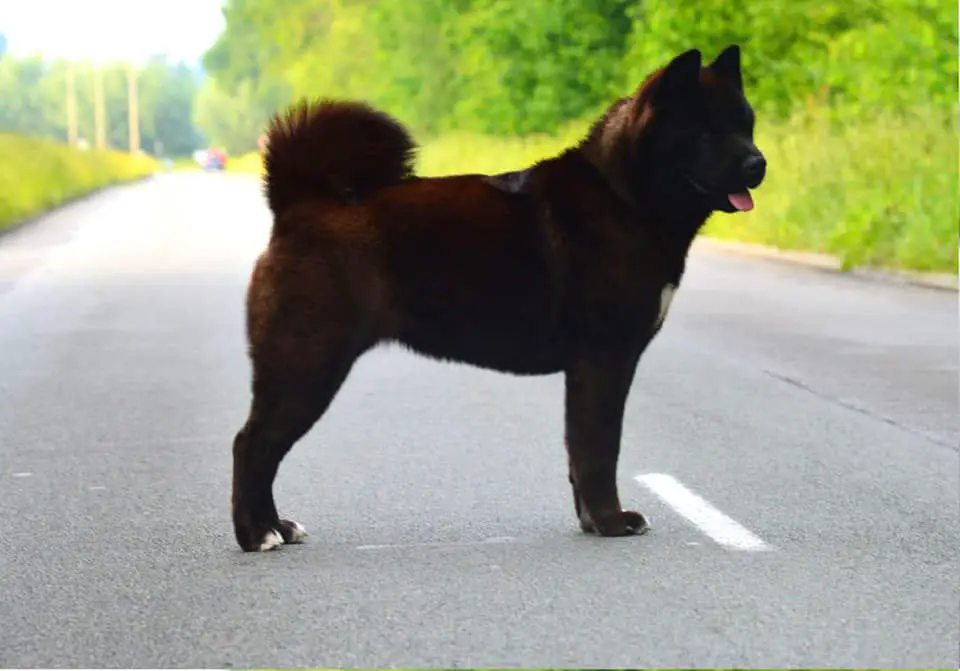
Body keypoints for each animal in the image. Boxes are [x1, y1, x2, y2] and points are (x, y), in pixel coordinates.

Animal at [231, 44, 764, 552]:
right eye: (707, 133)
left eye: (747, 124)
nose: (758, 162)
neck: (625, 197)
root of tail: (297, 205)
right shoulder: (605, 358)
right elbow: (599, 447)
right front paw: (613, 522)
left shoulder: (589, 367)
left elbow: (578, 451)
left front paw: (592, 522)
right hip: (307, 363)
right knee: (252, 445)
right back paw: (257, 535)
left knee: (263, 449)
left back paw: (278, 527)